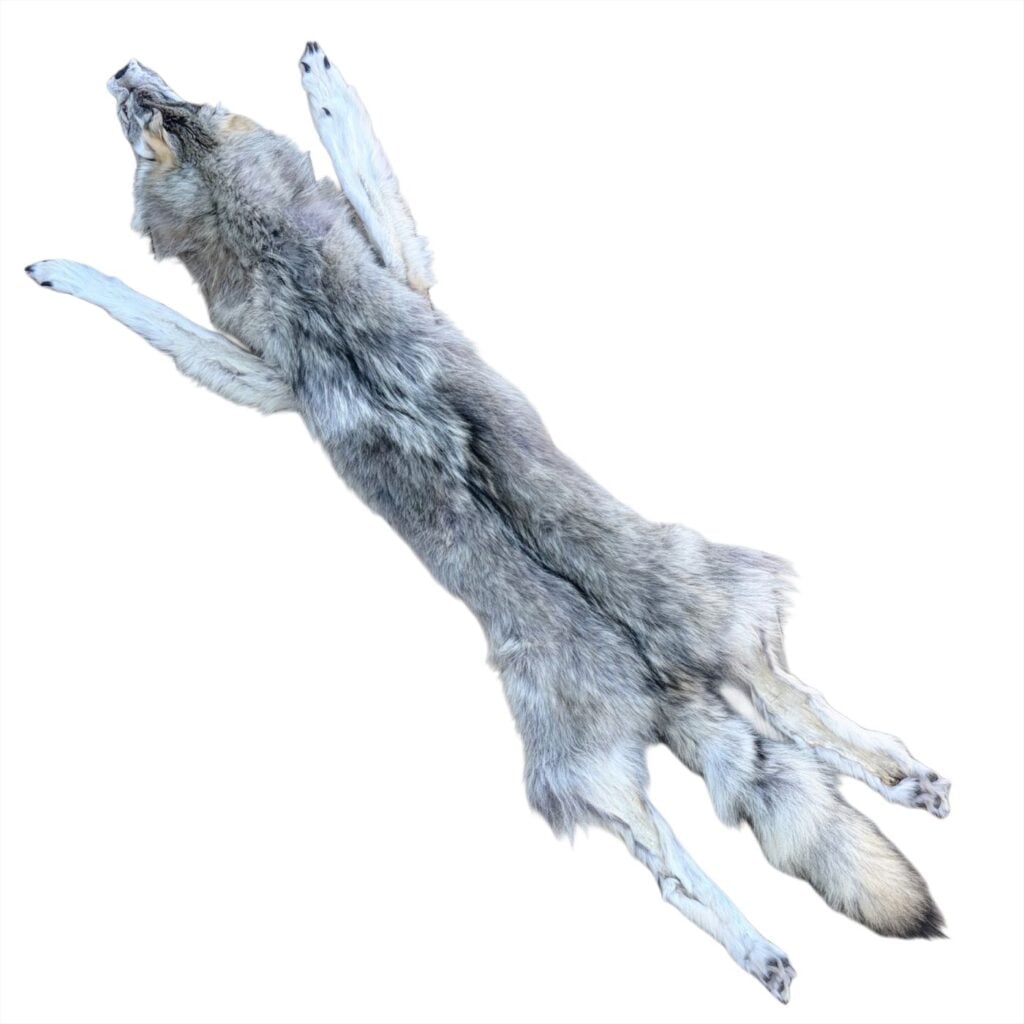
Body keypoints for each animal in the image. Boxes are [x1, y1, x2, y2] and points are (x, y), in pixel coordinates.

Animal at [25, 44, 950, 1002]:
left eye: (159, 108)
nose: (119, 65)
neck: (264, 237)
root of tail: (656, 677)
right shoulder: (303, 345)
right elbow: (171, 293)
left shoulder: (345, 311)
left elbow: (345, 164)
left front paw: (320, 80)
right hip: (634, 743)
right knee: (714, 824)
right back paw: (788, 920)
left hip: (706, 632)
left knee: (790, 733)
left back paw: (889, 804)